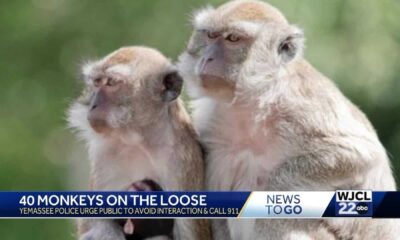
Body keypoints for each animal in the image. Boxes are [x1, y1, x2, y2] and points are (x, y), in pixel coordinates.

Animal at [68, 46, 212, 240]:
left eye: (111, 82)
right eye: (97, 83)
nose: (93, 105)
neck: (139, 140)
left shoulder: (182, 160)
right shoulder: (103, 155)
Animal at [179, 0, 400, 240]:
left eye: (233, 39)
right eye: (211, 36)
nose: (207, 58)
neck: (253, 102)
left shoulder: (303, 107)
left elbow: (360, 153)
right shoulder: (211, 124)